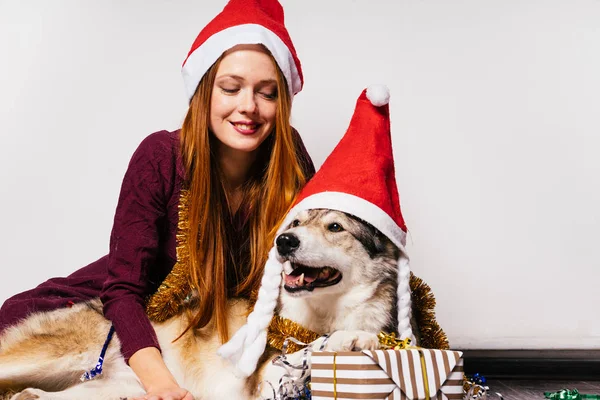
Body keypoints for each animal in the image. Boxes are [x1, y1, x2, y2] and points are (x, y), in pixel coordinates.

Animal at [0, 209, 414, 400]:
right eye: (295, 223)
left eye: (335, 227)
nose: (284, 241)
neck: (320, 315)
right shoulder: (261, 386)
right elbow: (306, 351)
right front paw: (347, 340)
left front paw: (356, 338)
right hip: (58, 355)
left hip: (114, 390)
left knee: (31, 395)